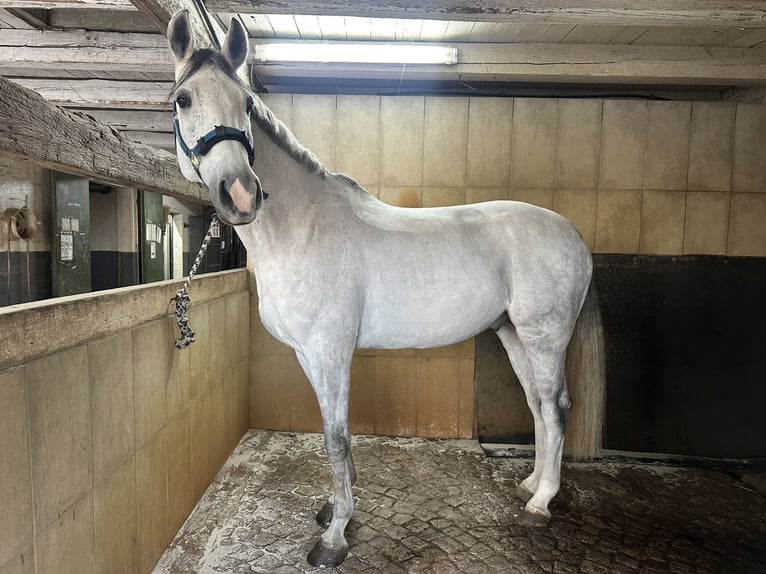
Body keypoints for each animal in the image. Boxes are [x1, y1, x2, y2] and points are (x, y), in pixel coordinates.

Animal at [167, 10, 606, 568]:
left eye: (246, 102)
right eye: (184, 99)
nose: (241, 194)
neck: (303, 228)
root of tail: (573, 235)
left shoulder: (330, 351)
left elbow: (334, 437)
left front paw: (335, 537)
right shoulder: (309, 354)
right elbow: (335, 434)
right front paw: (335, 510)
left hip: (544, 336)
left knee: (556, 406)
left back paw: (542, 502)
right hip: (512, 334)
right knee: (536, 405)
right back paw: (529, 485)